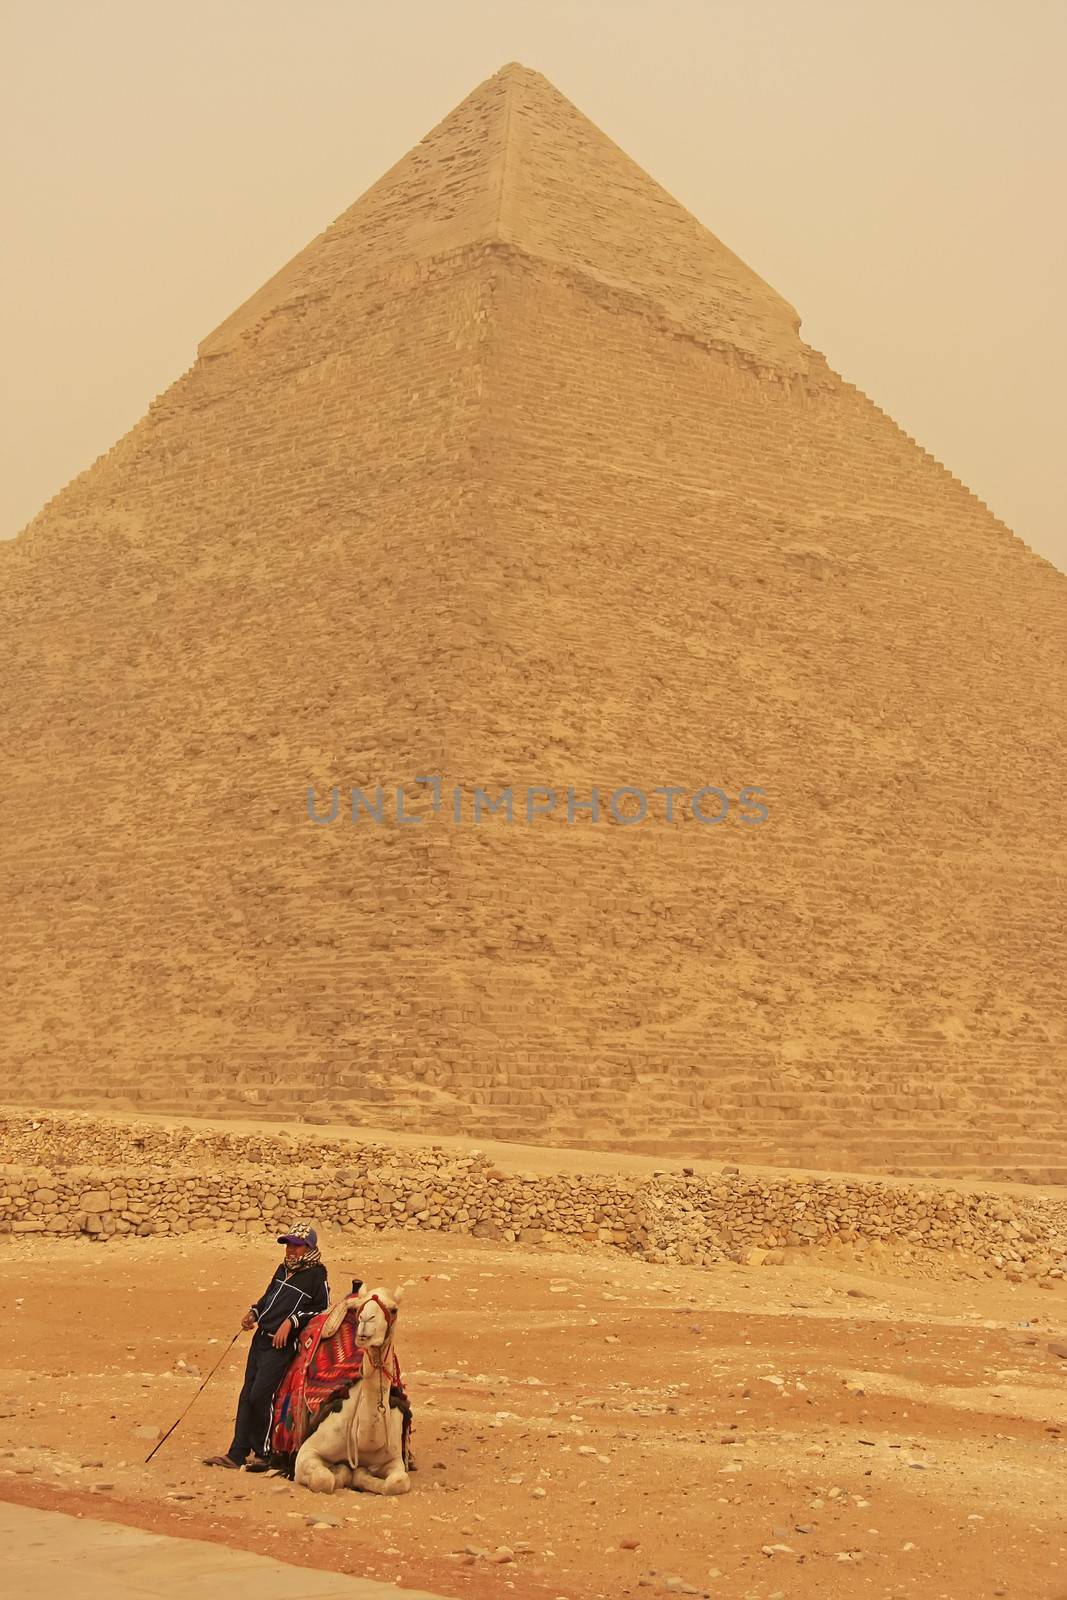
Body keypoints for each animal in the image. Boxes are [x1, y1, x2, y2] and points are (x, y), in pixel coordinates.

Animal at [295, 1286, 412, 1497]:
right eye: (359, 1309)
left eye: (394, 1310)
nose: (366, 1320)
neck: (362, 1438)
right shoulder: (307, 1451)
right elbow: (323, 1478)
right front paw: (343, 1470)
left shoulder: (394, 1459)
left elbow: (398, 1481)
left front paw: (360, 1474)